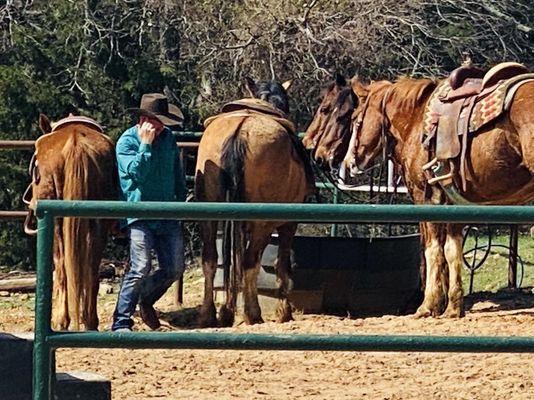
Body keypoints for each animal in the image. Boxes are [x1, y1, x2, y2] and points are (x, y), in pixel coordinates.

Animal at [24, 114, 116, 330]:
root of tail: (75, 141)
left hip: (56, 223)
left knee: (62, 267)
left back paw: (62, 320)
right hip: (98, 222)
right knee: (92, 266)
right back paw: (90, 321)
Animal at [196, 78, 314, 328]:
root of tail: (239, 132)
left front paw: (227, 309)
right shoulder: (289, 224)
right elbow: (282, 265)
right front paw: (284, 312)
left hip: (208, 216)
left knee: (210, 258)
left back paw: (209, 314)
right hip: (263, 224)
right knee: (251, 261)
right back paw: (253, 313)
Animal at [344, 76, 534, 318]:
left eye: (355, 120)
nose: (349, 163)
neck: (415, 122)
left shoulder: (426, 198)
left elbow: (433, 250)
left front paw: (428, 306)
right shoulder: (454, 203)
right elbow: (453, 251)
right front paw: (453, 307)